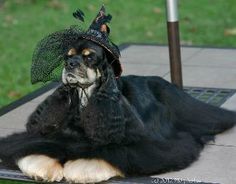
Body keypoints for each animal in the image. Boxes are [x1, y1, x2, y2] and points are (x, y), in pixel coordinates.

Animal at [0, 38, 236, 183]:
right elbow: (29, 148)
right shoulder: (52, 136)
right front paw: (44, 167)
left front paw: (80, 168)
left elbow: (113, 156)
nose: (70, 64)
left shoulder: (152, 147)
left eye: (89, 56)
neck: (87, 101)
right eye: (67, 56)